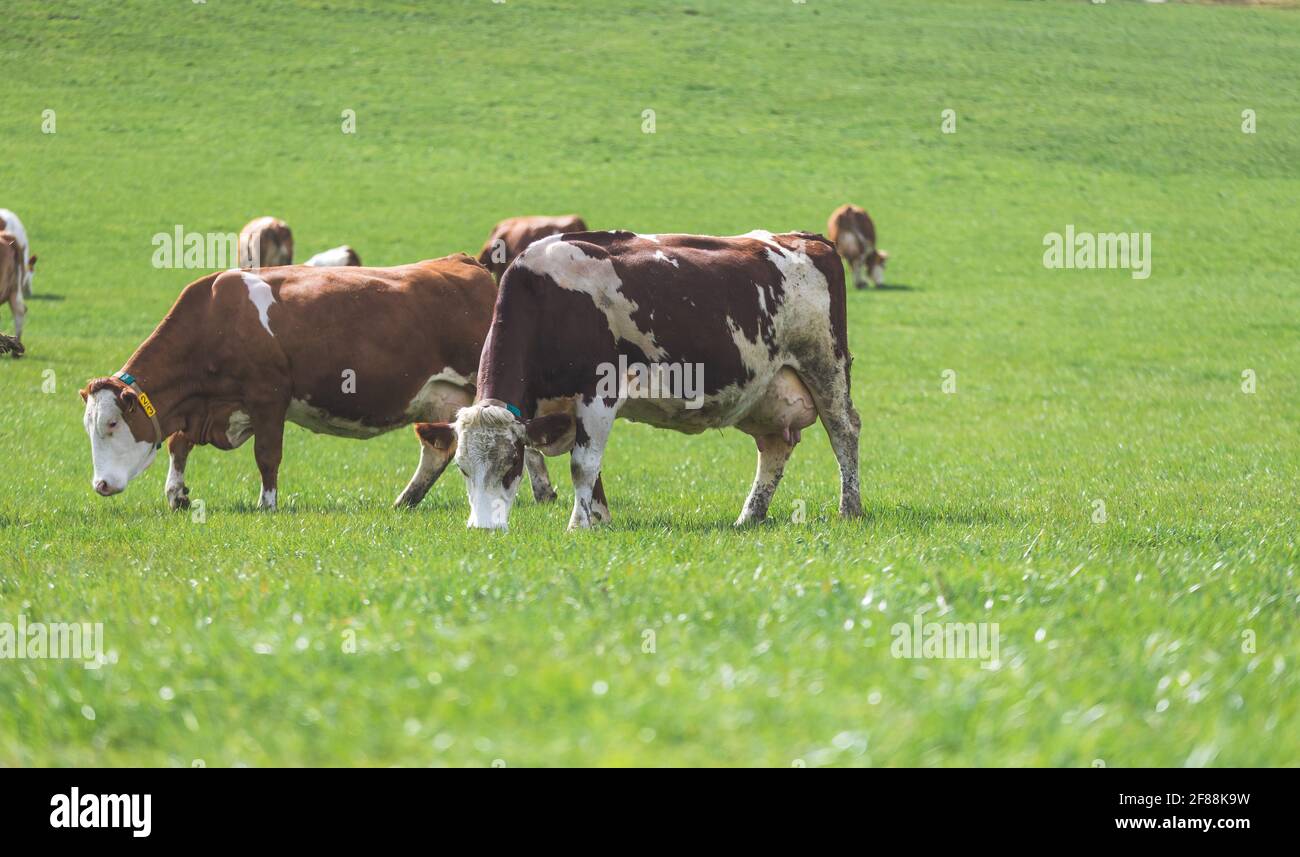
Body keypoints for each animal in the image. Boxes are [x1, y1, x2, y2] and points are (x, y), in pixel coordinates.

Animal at [79, 256, 555, 510]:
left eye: (112, 424)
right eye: (90, 427)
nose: (100, 485)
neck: (217, 317)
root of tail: (462, 261)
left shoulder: (268, 396)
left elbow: (267, 456)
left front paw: (267, 504)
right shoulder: (207, 407)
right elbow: (179, 443)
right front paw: (176, 494)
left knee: (520, 437)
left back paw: (542, 491)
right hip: (438, 397)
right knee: (439, 446)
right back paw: (406, 500)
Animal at [416, 230, 862, 531]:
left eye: (510, 465)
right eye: (462, 468)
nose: (483, 528)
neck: (546, 296)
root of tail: (804, 238)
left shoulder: (599, 391)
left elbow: (583, 464)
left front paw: (578, 526)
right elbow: (590, 468)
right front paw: (599, 520)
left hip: (825, 364)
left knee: (844, 432)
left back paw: (850, 509)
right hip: (766, 393)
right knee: (774, 448)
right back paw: (749, 516)